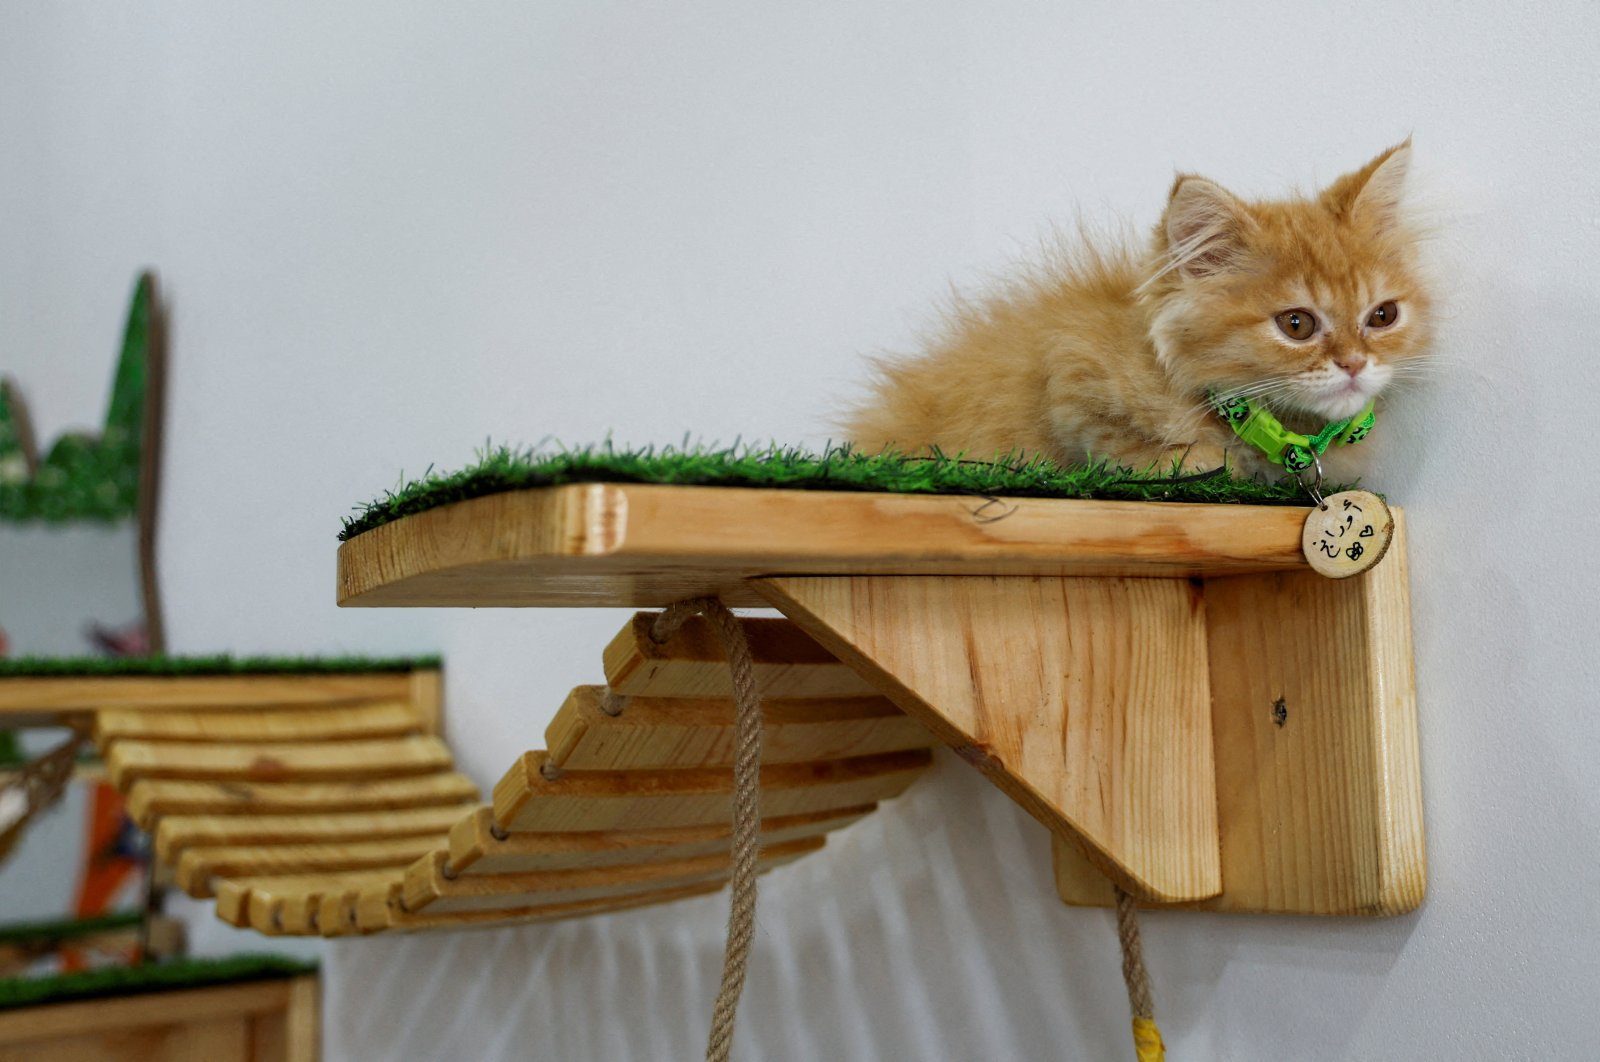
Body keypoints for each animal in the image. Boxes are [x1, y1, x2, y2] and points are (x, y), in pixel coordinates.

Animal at [844, 142, 1433, 479]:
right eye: (1296, 325)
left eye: (1382, 316)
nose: (1355, 364)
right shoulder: (1069, 370)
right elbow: (1118, 445)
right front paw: (1204, 459)